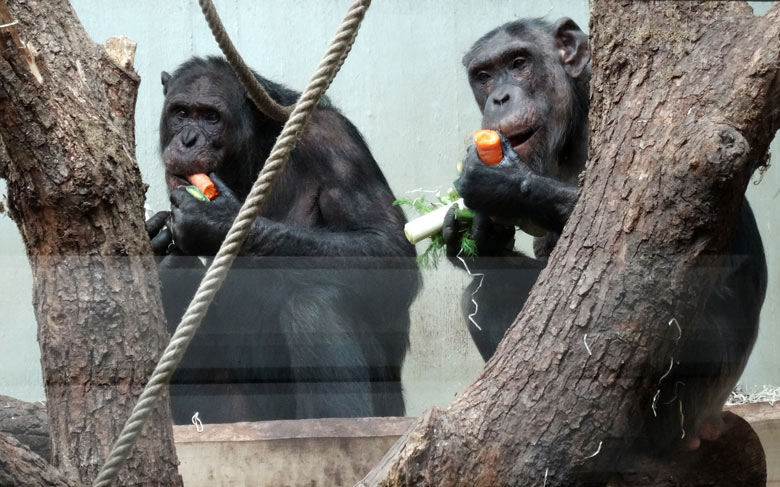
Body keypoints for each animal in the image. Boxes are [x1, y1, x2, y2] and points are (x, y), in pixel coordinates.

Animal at [146, 56, 420, 424]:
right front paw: (159, 247)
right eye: (181, 112)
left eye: (211, 117)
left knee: (314, 306)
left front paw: (213, 221)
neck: (252, 155)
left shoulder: (336, 144)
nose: (188, 139)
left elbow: (388, 247)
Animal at [444, 19, 768, 454]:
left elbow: (644, 221)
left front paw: (501, 183)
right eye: (483, 76)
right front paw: (477, 237)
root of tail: (713, 419)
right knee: (485, 294)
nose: (499, 97)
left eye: (518, 63)